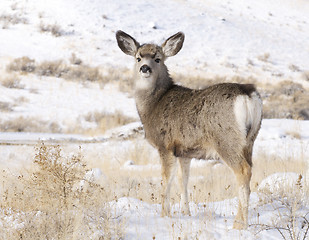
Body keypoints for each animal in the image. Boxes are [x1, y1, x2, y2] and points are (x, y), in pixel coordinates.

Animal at [115, 30, 262, 229]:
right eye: (138, 57)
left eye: (158, 58)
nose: (144, 68)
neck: (152, 106)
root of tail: (247, 94)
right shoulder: (184, 151)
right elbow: (182, 179)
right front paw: (186, 213)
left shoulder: (165, 145)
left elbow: (166, 179)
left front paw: (165, 213)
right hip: (250, 139)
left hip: (226, 139)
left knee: (243, 171)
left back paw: (239, 223)